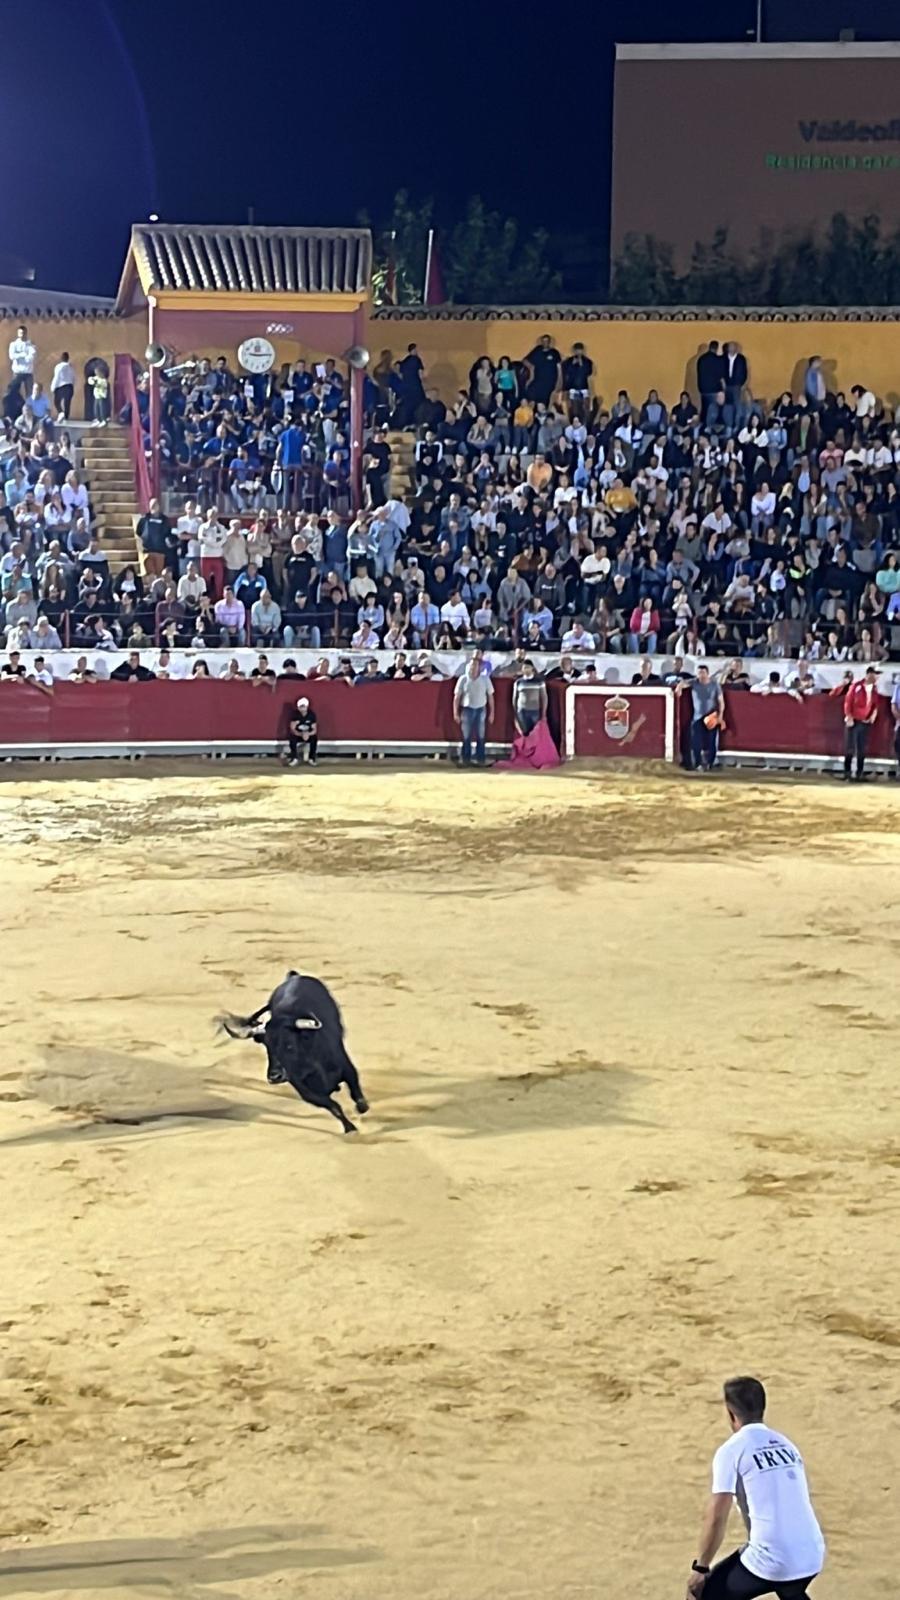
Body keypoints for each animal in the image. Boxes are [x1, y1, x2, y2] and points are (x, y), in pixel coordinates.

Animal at [217, 970, 369, 1134]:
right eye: (268, 1048)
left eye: (289, 1045)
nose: (274, 1077)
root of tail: (294, 976)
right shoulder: (307, 1092)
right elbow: (334, 1107)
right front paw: (350, 1128)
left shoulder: (347, 1068)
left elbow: (356, 1093)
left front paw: (362, 1109)